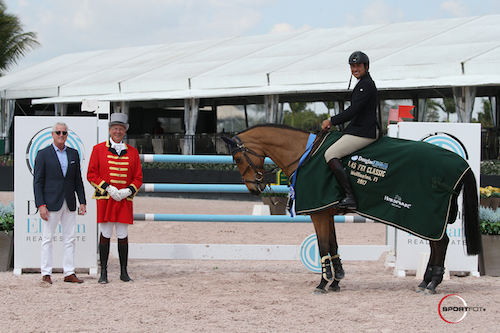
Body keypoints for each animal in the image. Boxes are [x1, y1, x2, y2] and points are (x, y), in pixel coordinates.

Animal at [222, 124, 480, 294]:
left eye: (238, 159)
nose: (254, 189)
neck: (306, 154)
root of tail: (461, 163)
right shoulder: (327, 213)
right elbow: (333, 245)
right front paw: (336, 281)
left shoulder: (318, 213)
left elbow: (323, 246)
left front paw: (323, 283)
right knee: (438, 244)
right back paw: (426, 282)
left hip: (426, 218)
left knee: (440, 243)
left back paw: (432, 284)